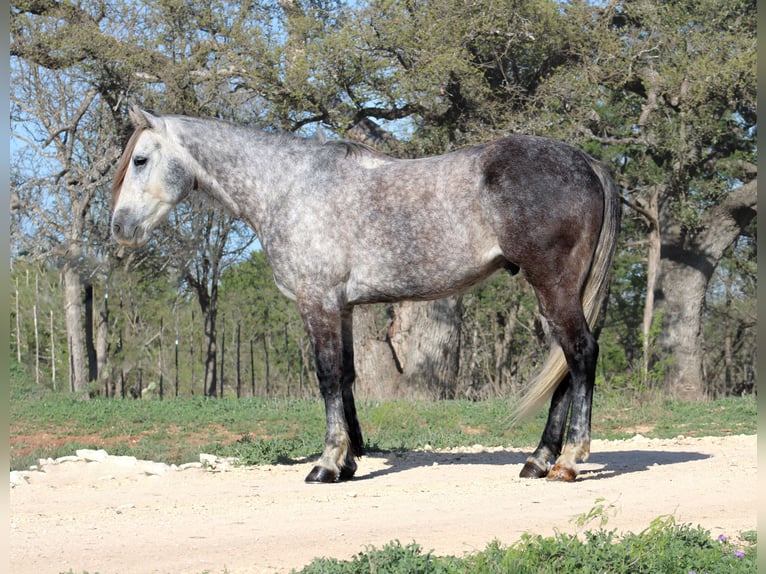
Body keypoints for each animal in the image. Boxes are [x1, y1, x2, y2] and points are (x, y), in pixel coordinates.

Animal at [111, 106, 620, 483]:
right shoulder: (343, 308)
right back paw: (538, 460)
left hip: (553, 286)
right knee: (565, 364)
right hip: (561, 291)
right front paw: (349, 461)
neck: (288, 186)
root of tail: (587, 162)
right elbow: (347, 377)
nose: (120, 228)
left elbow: (327, 377)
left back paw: (567, 461)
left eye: (140, 160)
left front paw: (326, 464)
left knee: (581, 353)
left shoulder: (316, 303)